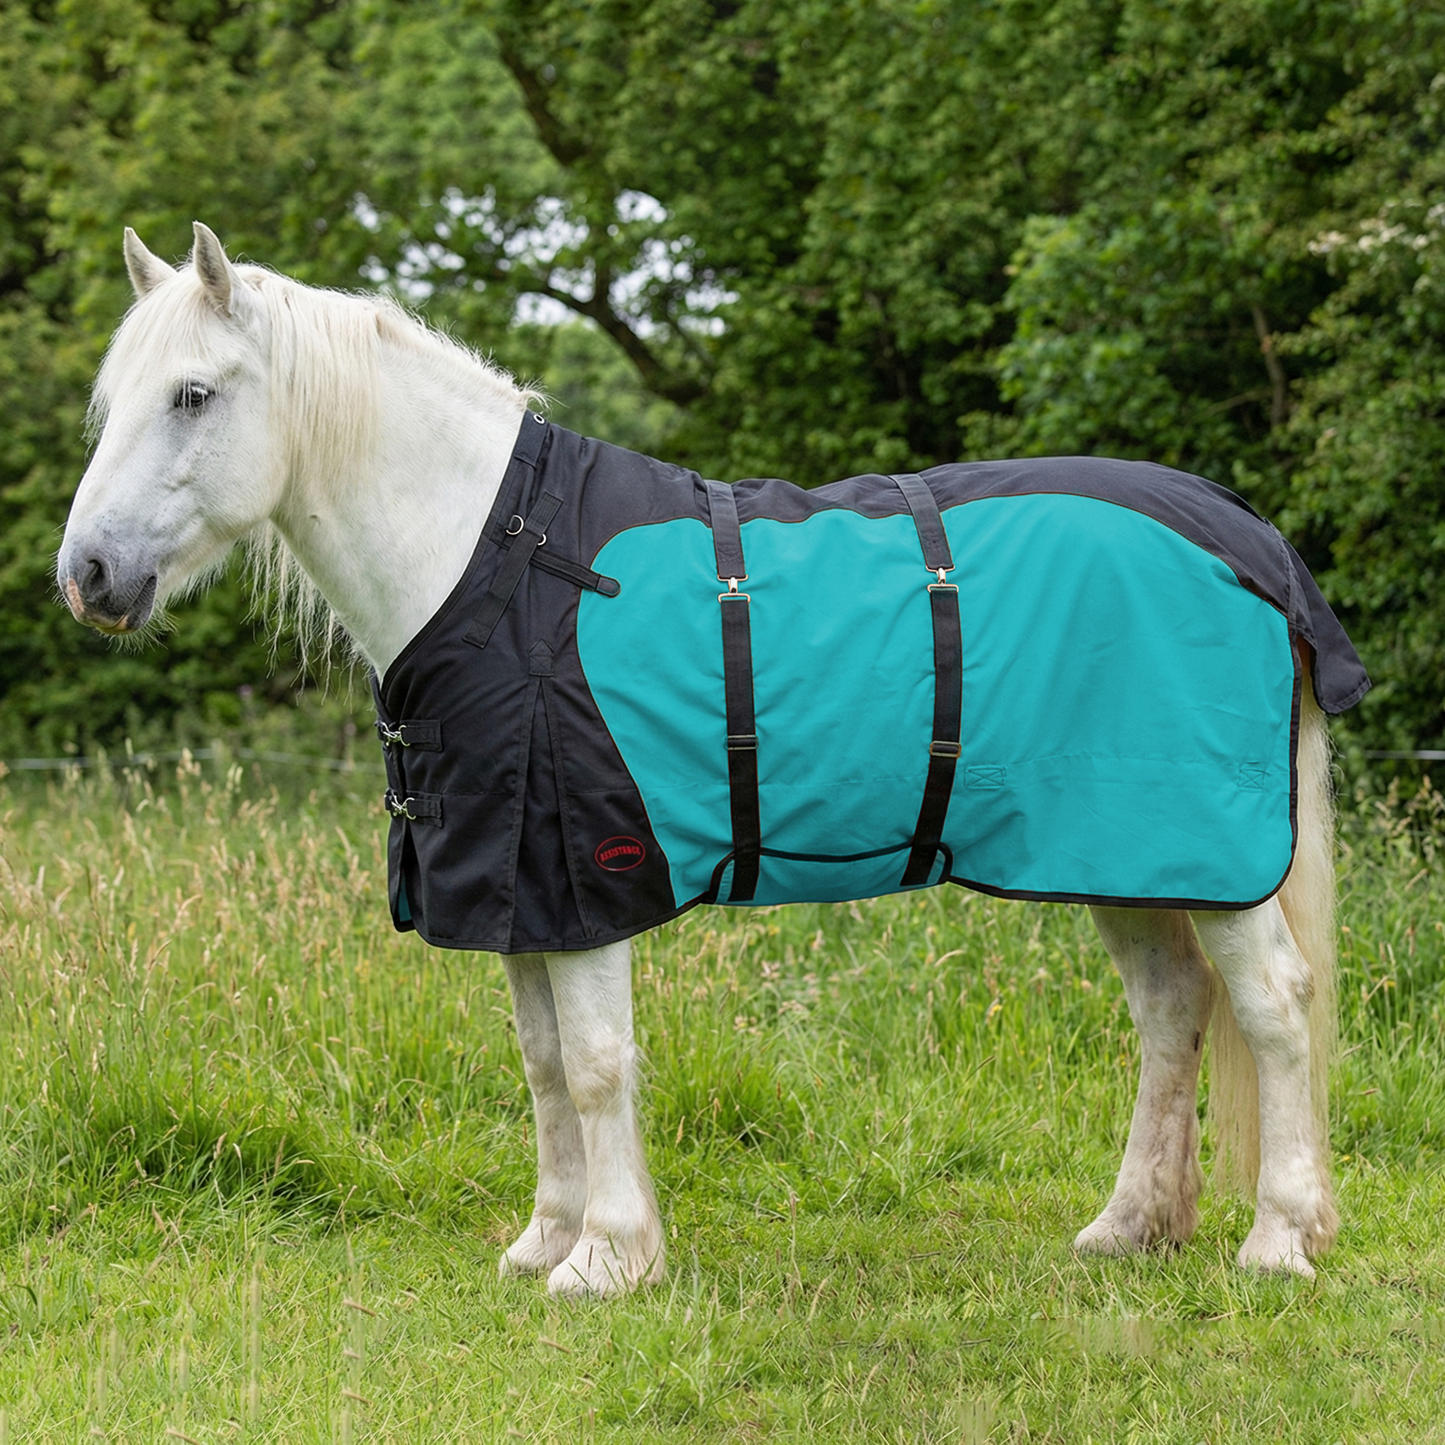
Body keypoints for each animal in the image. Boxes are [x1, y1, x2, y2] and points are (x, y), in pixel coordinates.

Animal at [58, 222, 1353, 1297]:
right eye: (110, 401)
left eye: (192, 394)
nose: (88, 576)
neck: (502, 567)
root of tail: (1247, 538)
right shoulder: (514, 889)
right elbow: (540, 1064)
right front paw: (546, 1237)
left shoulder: (583, 874)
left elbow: (592, 1063)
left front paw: (606, 1256)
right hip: (1123, 852)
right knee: (1171, 1007)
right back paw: (1131, 1225)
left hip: (1205, 849)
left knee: (1272, 1006)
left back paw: (1278, 1237)